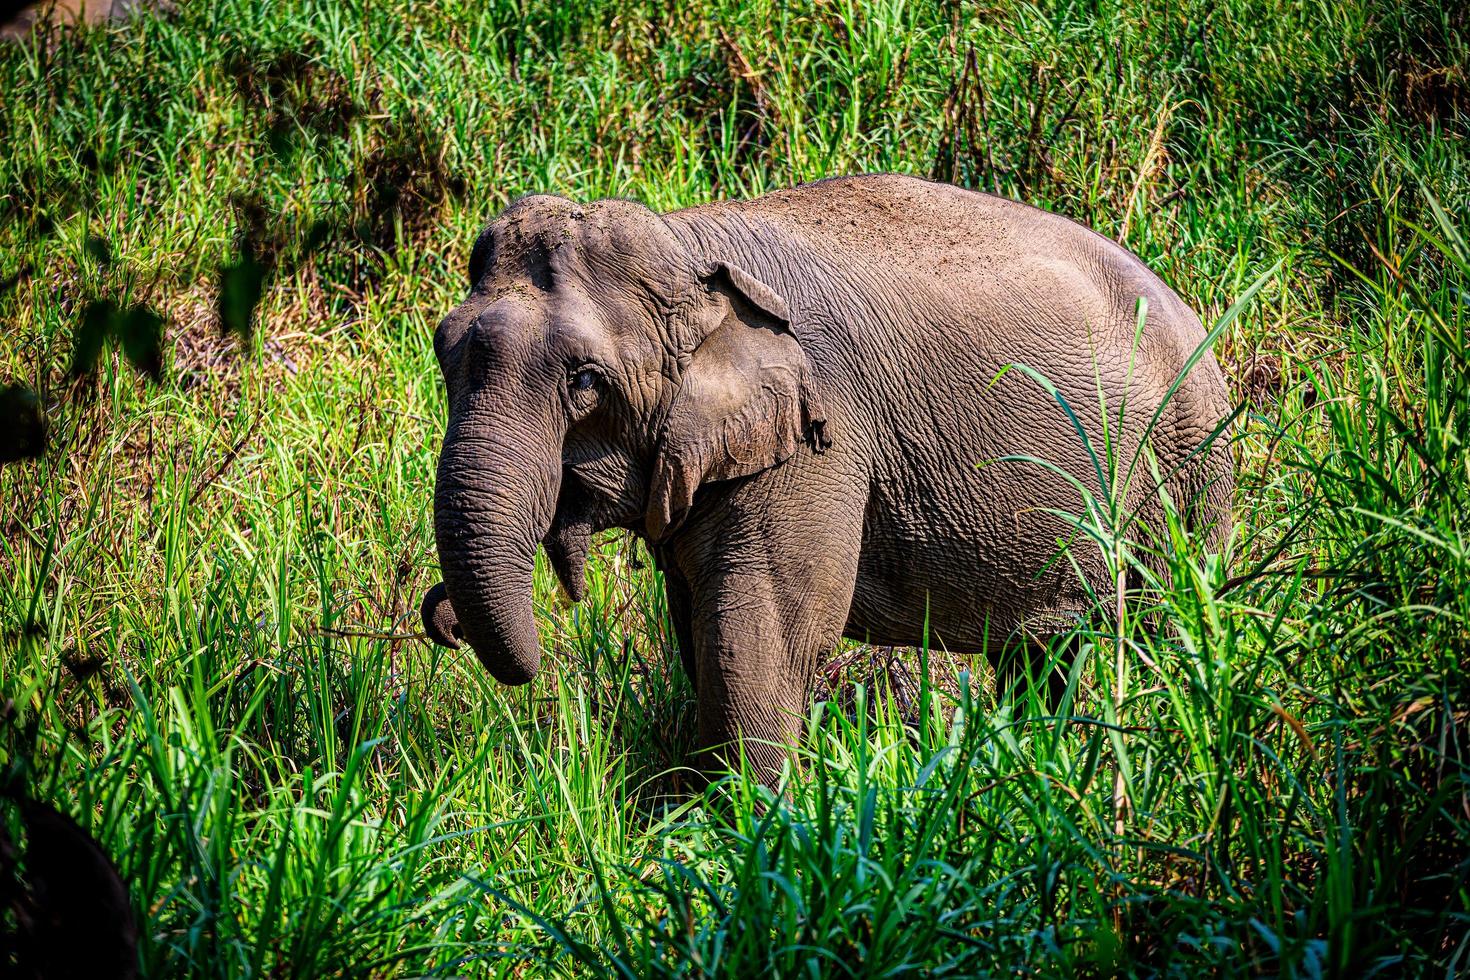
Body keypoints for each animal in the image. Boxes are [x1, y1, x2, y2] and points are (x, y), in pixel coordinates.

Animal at [420, 174, 1234, 781]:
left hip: (1189, 467)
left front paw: (749, 828)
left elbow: (761, 629)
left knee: (1163, 628)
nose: (443, 618)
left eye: (585, 382)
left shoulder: (822, 434)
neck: (688, 244)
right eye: (441, 351)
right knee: (1048, 653)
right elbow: (697, 623)